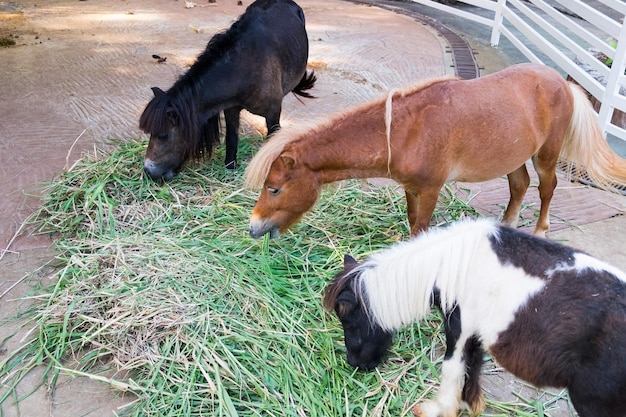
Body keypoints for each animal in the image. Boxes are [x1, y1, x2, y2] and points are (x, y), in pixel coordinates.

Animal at [139, 0, 314, 180]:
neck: (244, 67)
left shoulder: (273, 112)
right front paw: (230, 167)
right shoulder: (231, 109)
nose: (148, 171)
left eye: (164, 135)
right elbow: (231, 139)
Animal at [243, 62, 624, 237]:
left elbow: (420, 229)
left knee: (546, 188)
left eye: (274, 188)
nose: (253, 227)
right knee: (520, 186)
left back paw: (541, 229)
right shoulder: (412, 189)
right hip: (513, 156)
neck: (405, 131)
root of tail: (563, 82)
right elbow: (413, 221)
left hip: (546, 155)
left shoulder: (429, 190)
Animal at [322, 219, 624, 414]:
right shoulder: (476, 333)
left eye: (349, 323)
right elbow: (472, 371)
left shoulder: (459, 329)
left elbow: (453, 369)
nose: (355, 364)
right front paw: (470, 405)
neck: (452, 264)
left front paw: (438, 409)